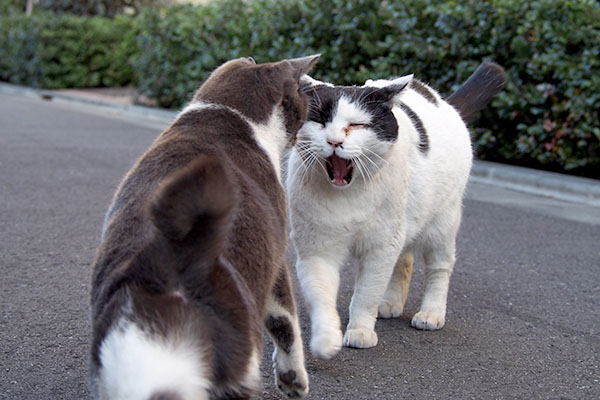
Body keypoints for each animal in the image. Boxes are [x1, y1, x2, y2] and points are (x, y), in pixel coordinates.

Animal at [286, 63, 506, 360]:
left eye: (357, 125)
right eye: (320, 121)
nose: (333, 141)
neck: (348, 196)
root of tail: (447, 103)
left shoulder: (381, 247)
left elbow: (366, 294)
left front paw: (361, 332)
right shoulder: (317, 250)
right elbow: (320, 295)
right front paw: (326, 339)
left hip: (441, 225)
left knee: (439, 268)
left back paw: (431, 314)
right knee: (405, 261)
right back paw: (390, 303)